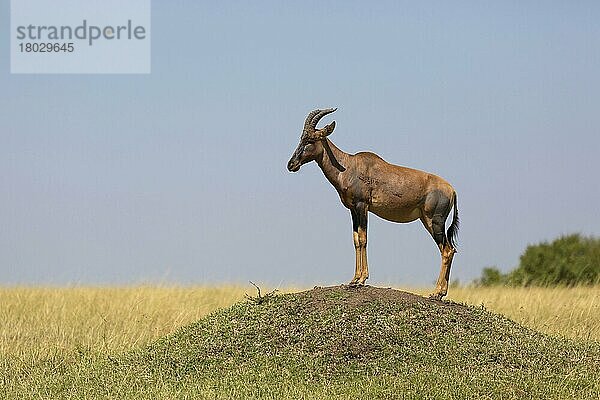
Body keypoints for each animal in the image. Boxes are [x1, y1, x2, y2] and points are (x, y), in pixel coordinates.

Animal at [286, 108, 460, 298]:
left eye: (310, 139)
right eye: (301, 138)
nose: (291, 164)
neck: (349, 166)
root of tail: (451, 189)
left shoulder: (362, 206)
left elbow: (364, 238)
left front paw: (361, 280)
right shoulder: (353, 209)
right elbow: (356, 239)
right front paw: (354, 279)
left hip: (434, 221)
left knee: (447, 250)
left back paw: (436, 293)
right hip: (426, 220)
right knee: (450, 249)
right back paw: (442, 293)